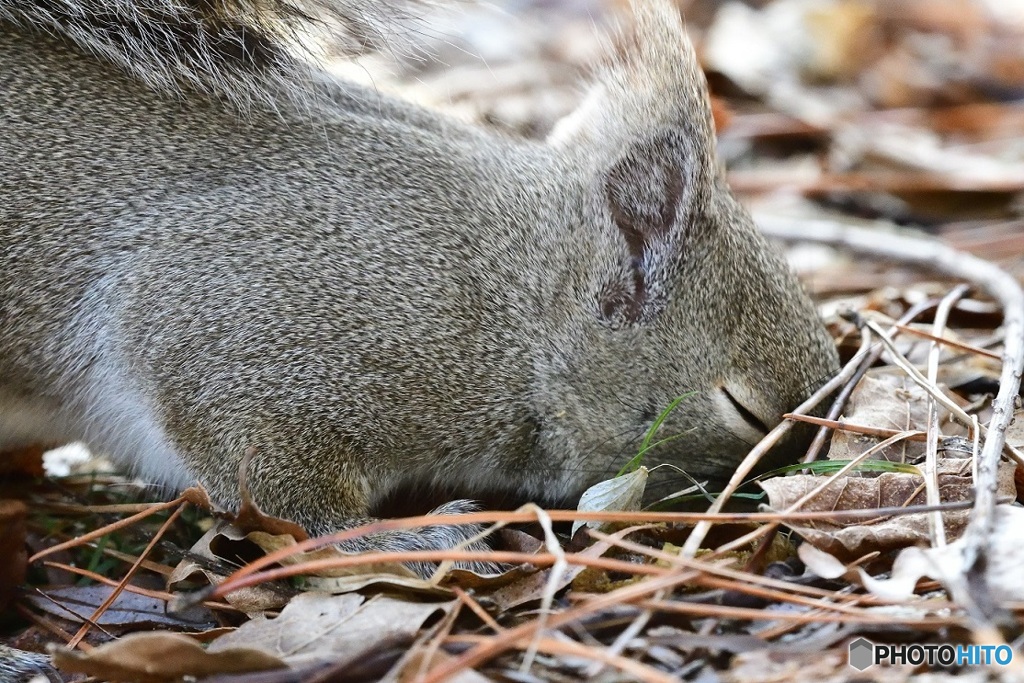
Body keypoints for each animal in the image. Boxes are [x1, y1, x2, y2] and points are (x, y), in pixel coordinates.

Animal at [0, 0, 839, 565]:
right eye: (745, 410)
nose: (788, 488)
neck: (512, 310)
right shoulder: (238, 333)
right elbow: (292, 501)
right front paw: (426, 532)